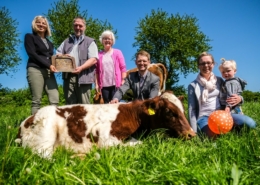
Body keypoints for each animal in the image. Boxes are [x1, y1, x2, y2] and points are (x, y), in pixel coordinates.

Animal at [15, 92, 195, 158]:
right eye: (169, 111)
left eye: (182, 109)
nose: (191, 134)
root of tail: (25, 122)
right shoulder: (105, 139)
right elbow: (139, 145)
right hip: (45, 135)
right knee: (44, 158)